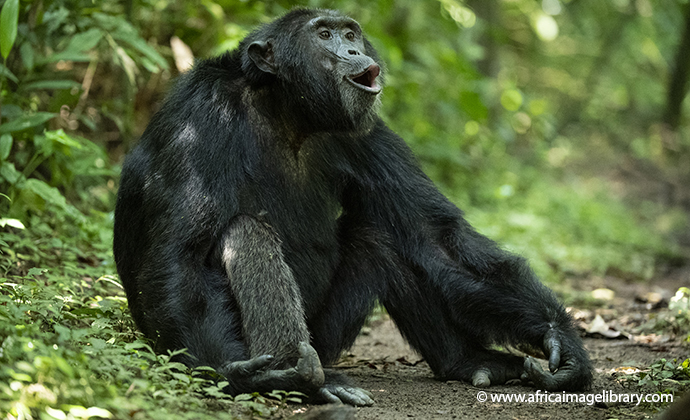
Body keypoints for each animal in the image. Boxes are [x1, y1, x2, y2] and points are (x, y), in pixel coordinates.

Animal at [113, 7, 592, 406]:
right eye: (323, 34)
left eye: (349, 32)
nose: (352, 49)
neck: (287, 110)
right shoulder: (199, 115)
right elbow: (183, 257)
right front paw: (238, 375)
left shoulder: (367, 134)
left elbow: (434, 236)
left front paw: (561, 342)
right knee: (245, 231)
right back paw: (299, 378)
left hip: (327, 333)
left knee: (382, 238)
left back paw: (469, 361)